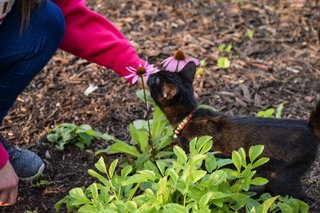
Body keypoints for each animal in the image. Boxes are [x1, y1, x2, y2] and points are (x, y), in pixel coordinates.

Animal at [147, 61, 320, 200]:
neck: (189, 115)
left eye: (156, 80)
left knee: (302, 198)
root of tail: (308, 126)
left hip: (283, 177)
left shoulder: (200, 156)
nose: (151, 74)